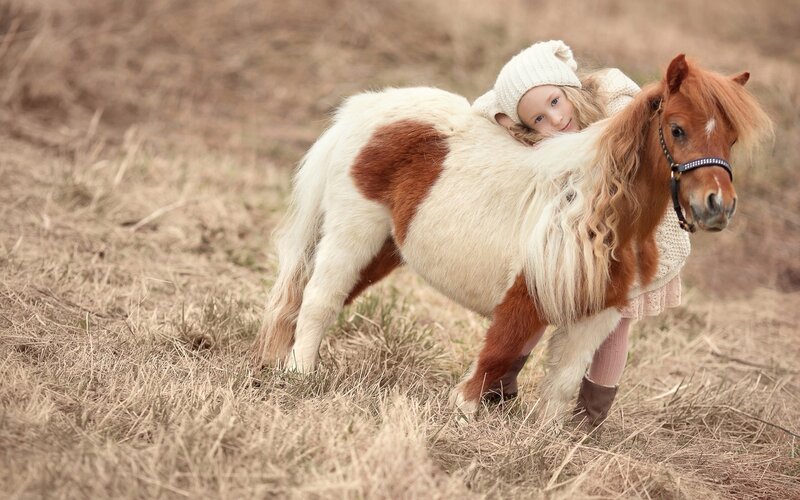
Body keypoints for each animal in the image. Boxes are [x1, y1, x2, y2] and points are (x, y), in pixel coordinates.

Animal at [252, 54, 772, 422]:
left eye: (729, 137)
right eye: (677, 129)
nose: (716, 206)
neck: (596, 206)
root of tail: (369, 107)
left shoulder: (597, 314)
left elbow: (563, 383)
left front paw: (546, 442)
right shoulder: (527, 295)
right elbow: (498, 355)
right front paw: (465, 416)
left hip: (382, 250)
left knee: (312, 298)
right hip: (352, 233)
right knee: (319, 299)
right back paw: (300, 376)